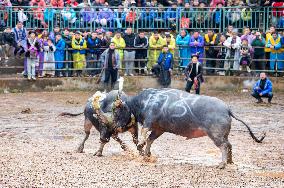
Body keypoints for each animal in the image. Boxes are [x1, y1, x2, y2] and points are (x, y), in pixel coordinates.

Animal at [112, 88, 266, 169]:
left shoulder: (149, 122)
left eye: (117, 111)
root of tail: (227, 109)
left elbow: (144, 136)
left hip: (215, 135)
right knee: (229, 145)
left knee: (223, 146)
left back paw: (221, 164)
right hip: (224, 134)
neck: (146, 101)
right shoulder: (159, 129)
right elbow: (150, 140)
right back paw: (229, 161)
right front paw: (147, 154)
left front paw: (141, 146)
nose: (115, 128)